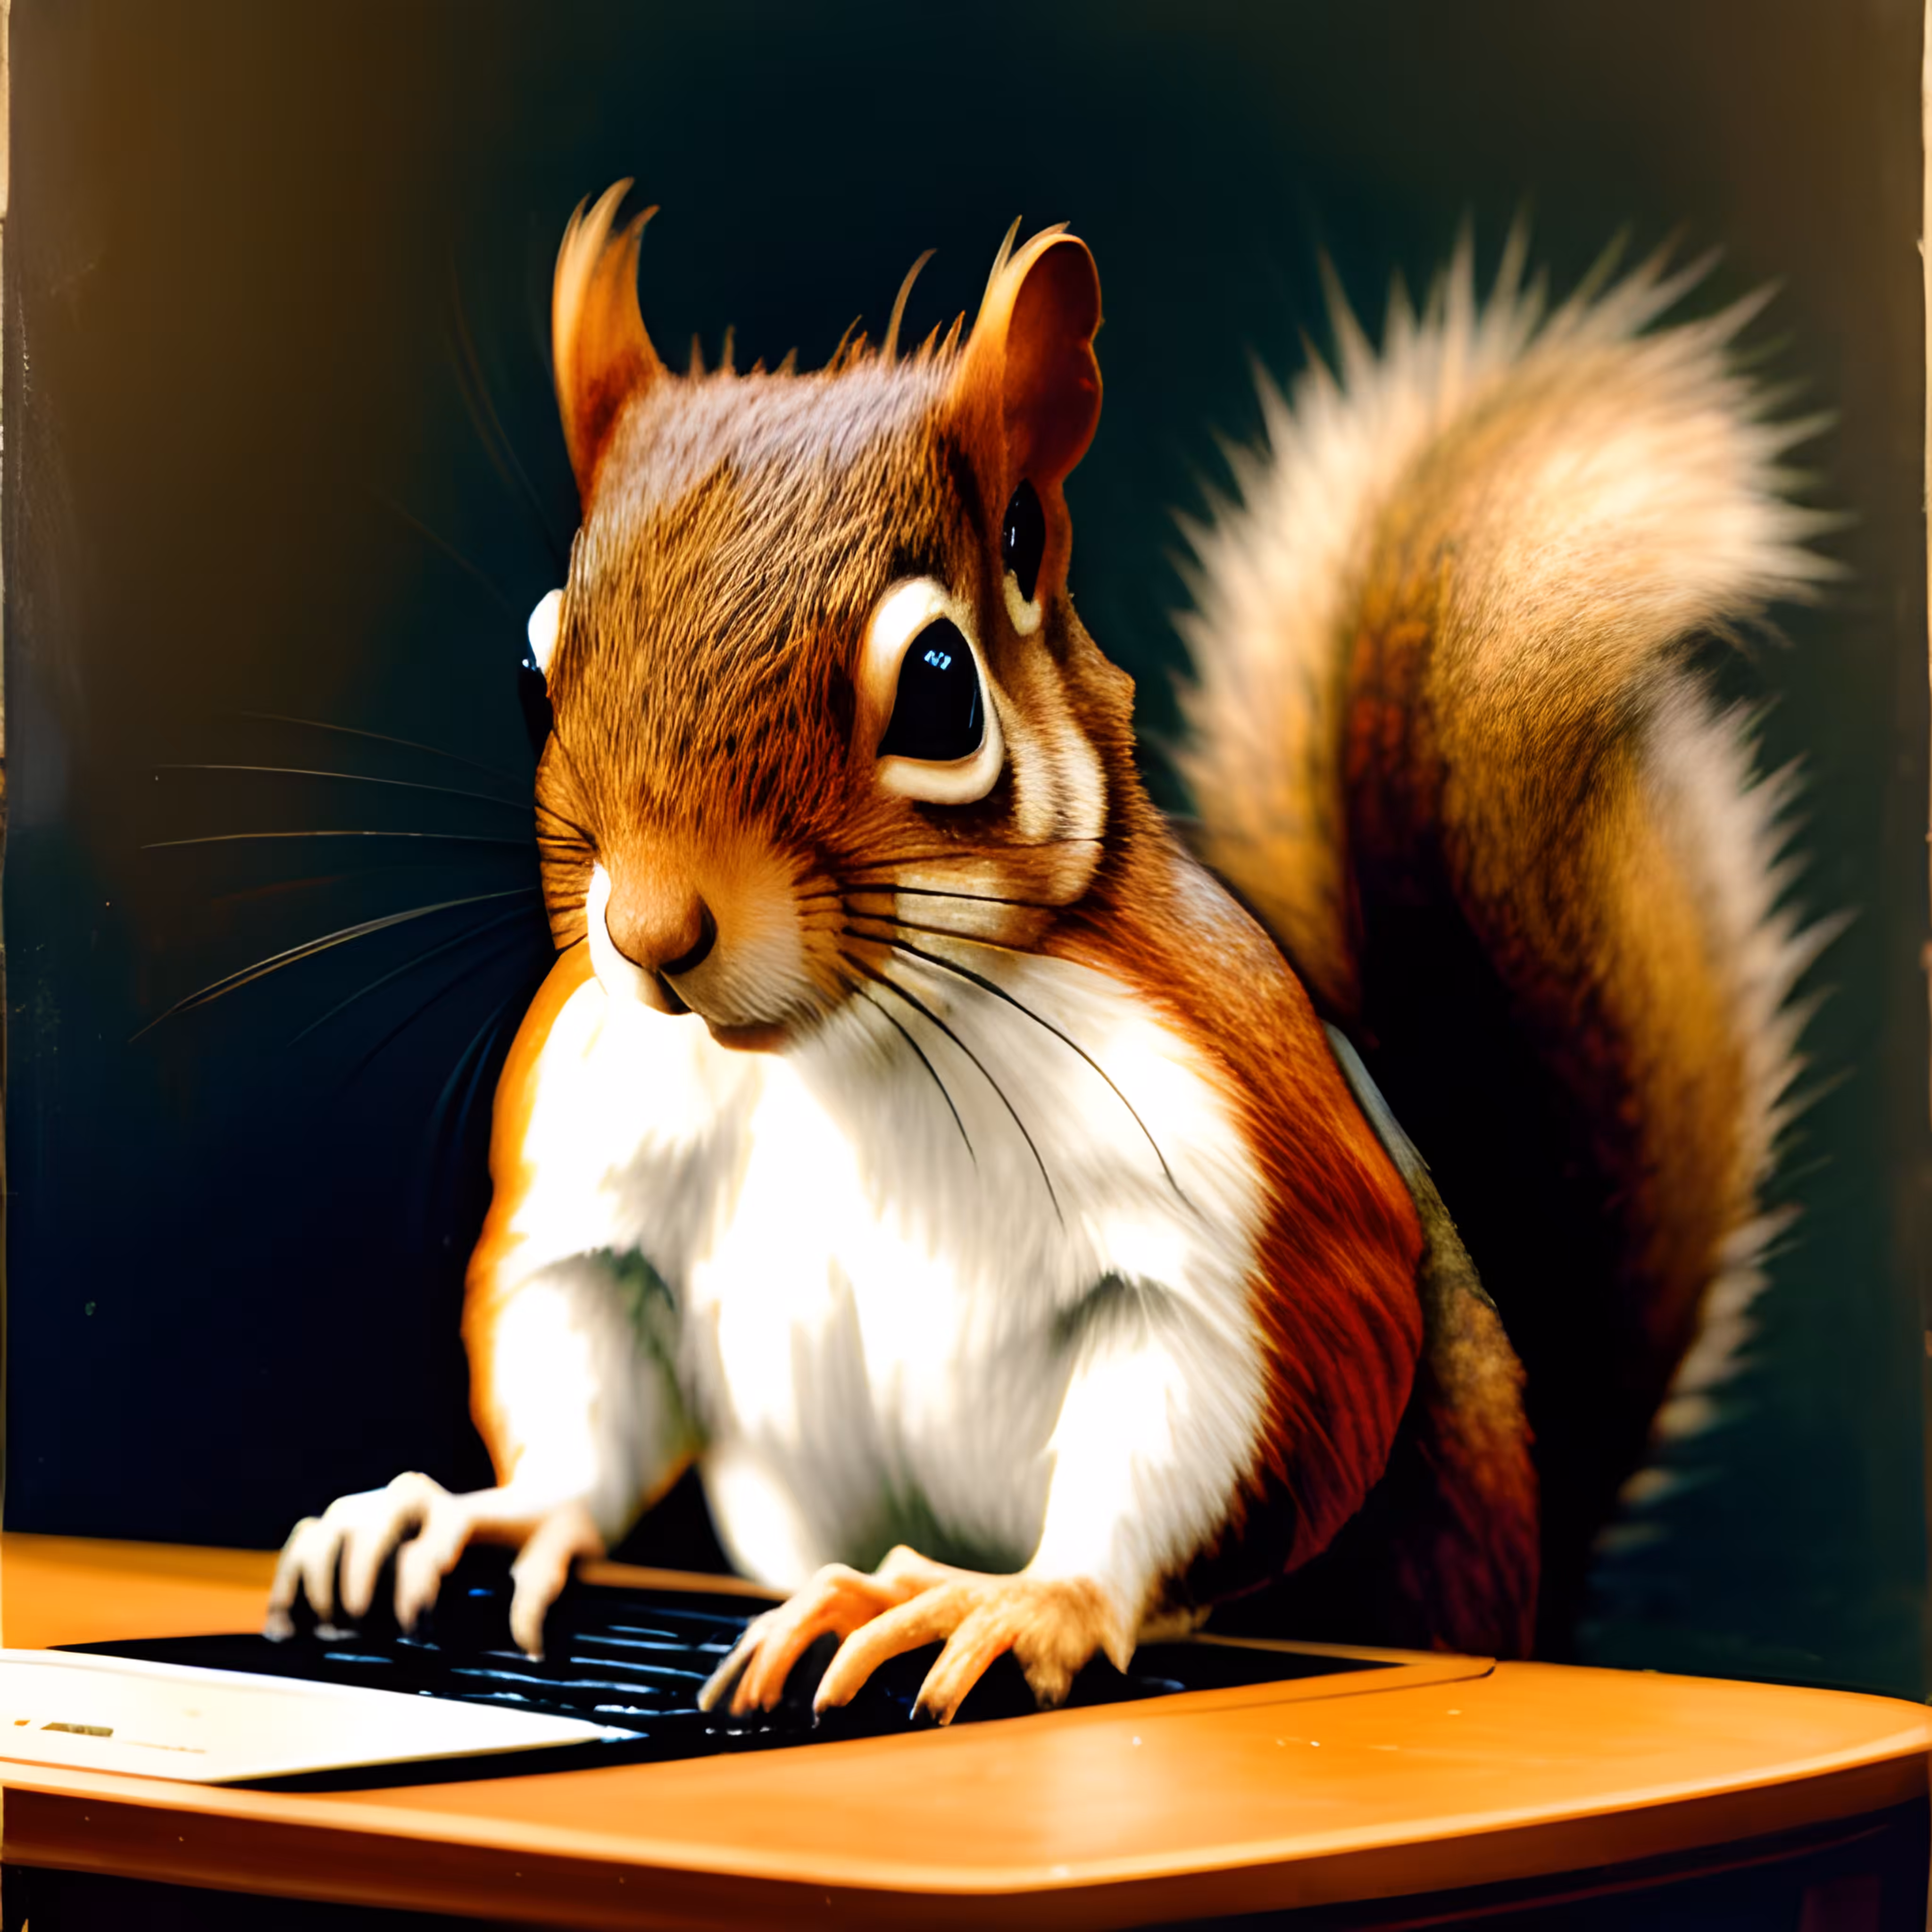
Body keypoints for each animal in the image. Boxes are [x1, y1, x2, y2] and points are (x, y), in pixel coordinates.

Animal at [266, 183, 1828, 1719]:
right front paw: (479, 1516)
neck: (839, 1052)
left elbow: (1243, 1388)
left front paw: (1001, 1598)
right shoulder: (602, 1117)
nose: (655, 934)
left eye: (941, 687)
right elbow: (585, 1323)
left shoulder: (1239, 1166)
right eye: (538, 663)